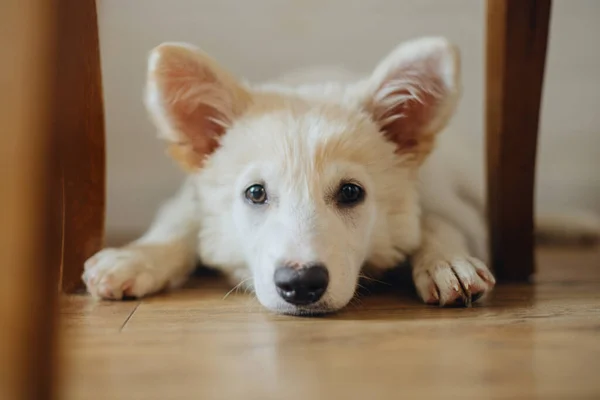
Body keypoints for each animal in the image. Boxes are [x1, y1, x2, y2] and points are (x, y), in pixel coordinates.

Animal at [82, 37, 596, 316]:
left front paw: (447, 262)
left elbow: (436, 223)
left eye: (351, 192)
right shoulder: (190, 197)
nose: (300, 285)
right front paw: (134, 258)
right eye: (255, 193)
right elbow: (180, 227)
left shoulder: (449, 204)